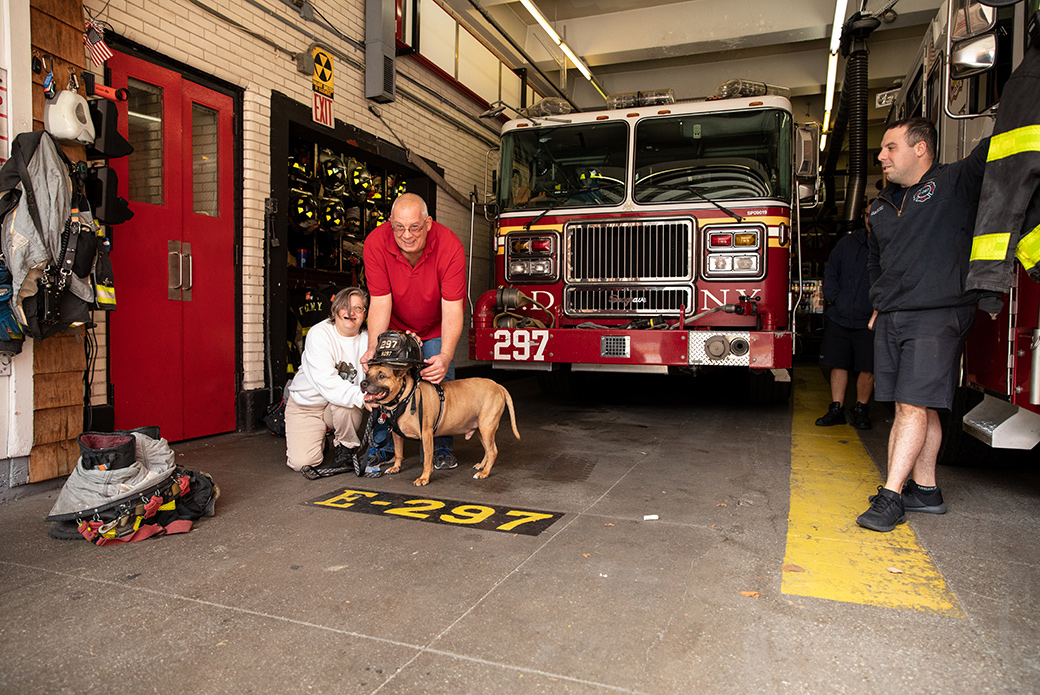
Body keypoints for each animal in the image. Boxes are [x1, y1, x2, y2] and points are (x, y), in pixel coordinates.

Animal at [361, 366, 520, 486]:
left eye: (382, 375)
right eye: (367, 373)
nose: (363, 383)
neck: (405, 397)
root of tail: (498, 386)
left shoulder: (426, 435)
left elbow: (427, 460)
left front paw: (424, 478)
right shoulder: (396, 434)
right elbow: (399, 452)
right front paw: (395, 467)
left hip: (486, 428)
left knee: (493, 451)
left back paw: (484, 473)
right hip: (481, 429)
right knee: (488, 450)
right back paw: (482, 466)